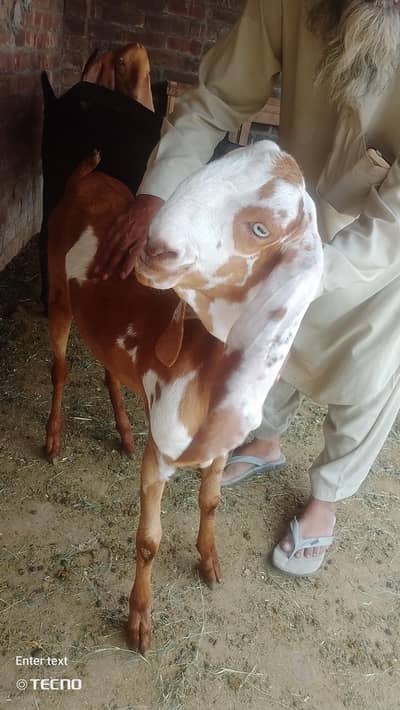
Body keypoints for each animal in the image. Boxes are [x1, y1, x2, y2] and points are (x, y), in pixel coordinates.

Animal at [45, 140, 323, 653]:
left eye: (261, 228)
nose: (155, 247)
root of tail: (87, 177)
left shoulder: (221, 448)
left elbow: (211, 501)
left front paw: (209, 562)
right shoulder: (160, 455)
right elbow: (148, 540)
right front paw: (139, 621)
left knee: (109, 370)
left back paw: (124, 431)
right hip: (57, 292)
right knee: (61, 366)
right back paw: (53, 439)